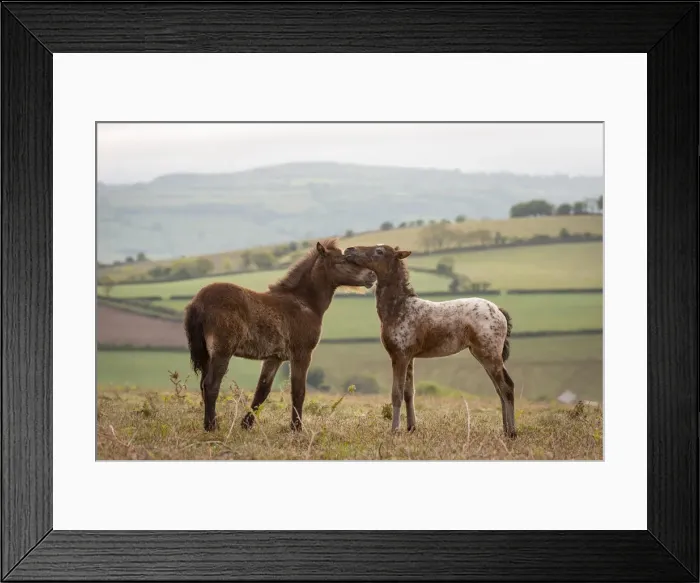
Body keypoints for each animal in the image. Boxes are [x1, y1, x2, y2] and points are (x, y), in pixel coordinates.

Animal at [184, 239, 377, 432]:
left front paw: (246, 425)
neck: (304, 303)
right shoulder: (301, 354)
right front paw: (297, 428)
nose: (372, 276)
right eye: (343, 260)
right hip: (222, 351)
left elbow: (262, 390)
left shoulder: (274, 358)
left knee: (204, 385)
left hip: (207, 353)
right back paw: (211, 427)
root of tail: (198, 301)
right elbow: (298, 391)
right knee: (211, 385)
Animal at [344, 244, 516, 438]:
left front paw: (395, 430)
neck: (398, 309)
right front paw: (411, 428)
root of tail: (499, 311)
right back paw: (505, 431)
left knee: (506, 387)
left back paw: (512, 433)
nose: (349, 250)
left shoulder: (399, 355)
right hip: (485, 354)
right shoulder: (409, 357)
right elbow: (408, 392)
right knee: (501, 388)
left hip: (489, 353)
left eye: (379, 251)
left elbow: (397, 393)